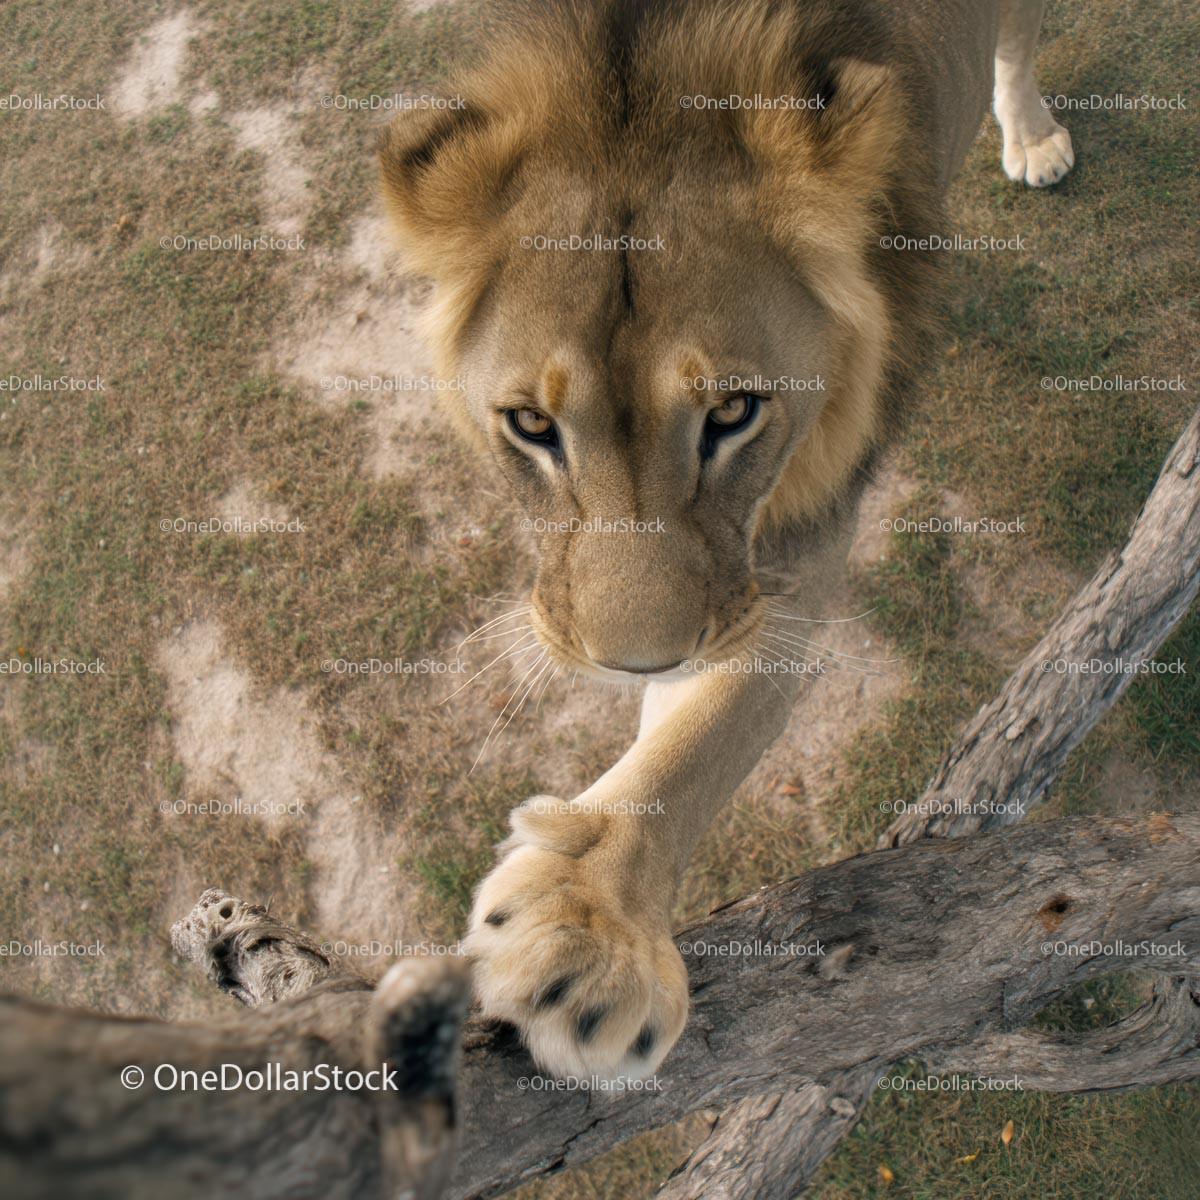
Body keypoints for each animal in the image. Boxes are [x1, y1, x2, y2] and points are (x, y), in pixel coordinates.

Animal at [379, 0, 1073, 1080]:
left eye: (735, 413)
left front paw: (595, 935)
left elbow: (703, 741)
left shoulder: (790, 555)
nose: (637, 665)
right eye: (532, 426)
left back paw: (1034, 136)